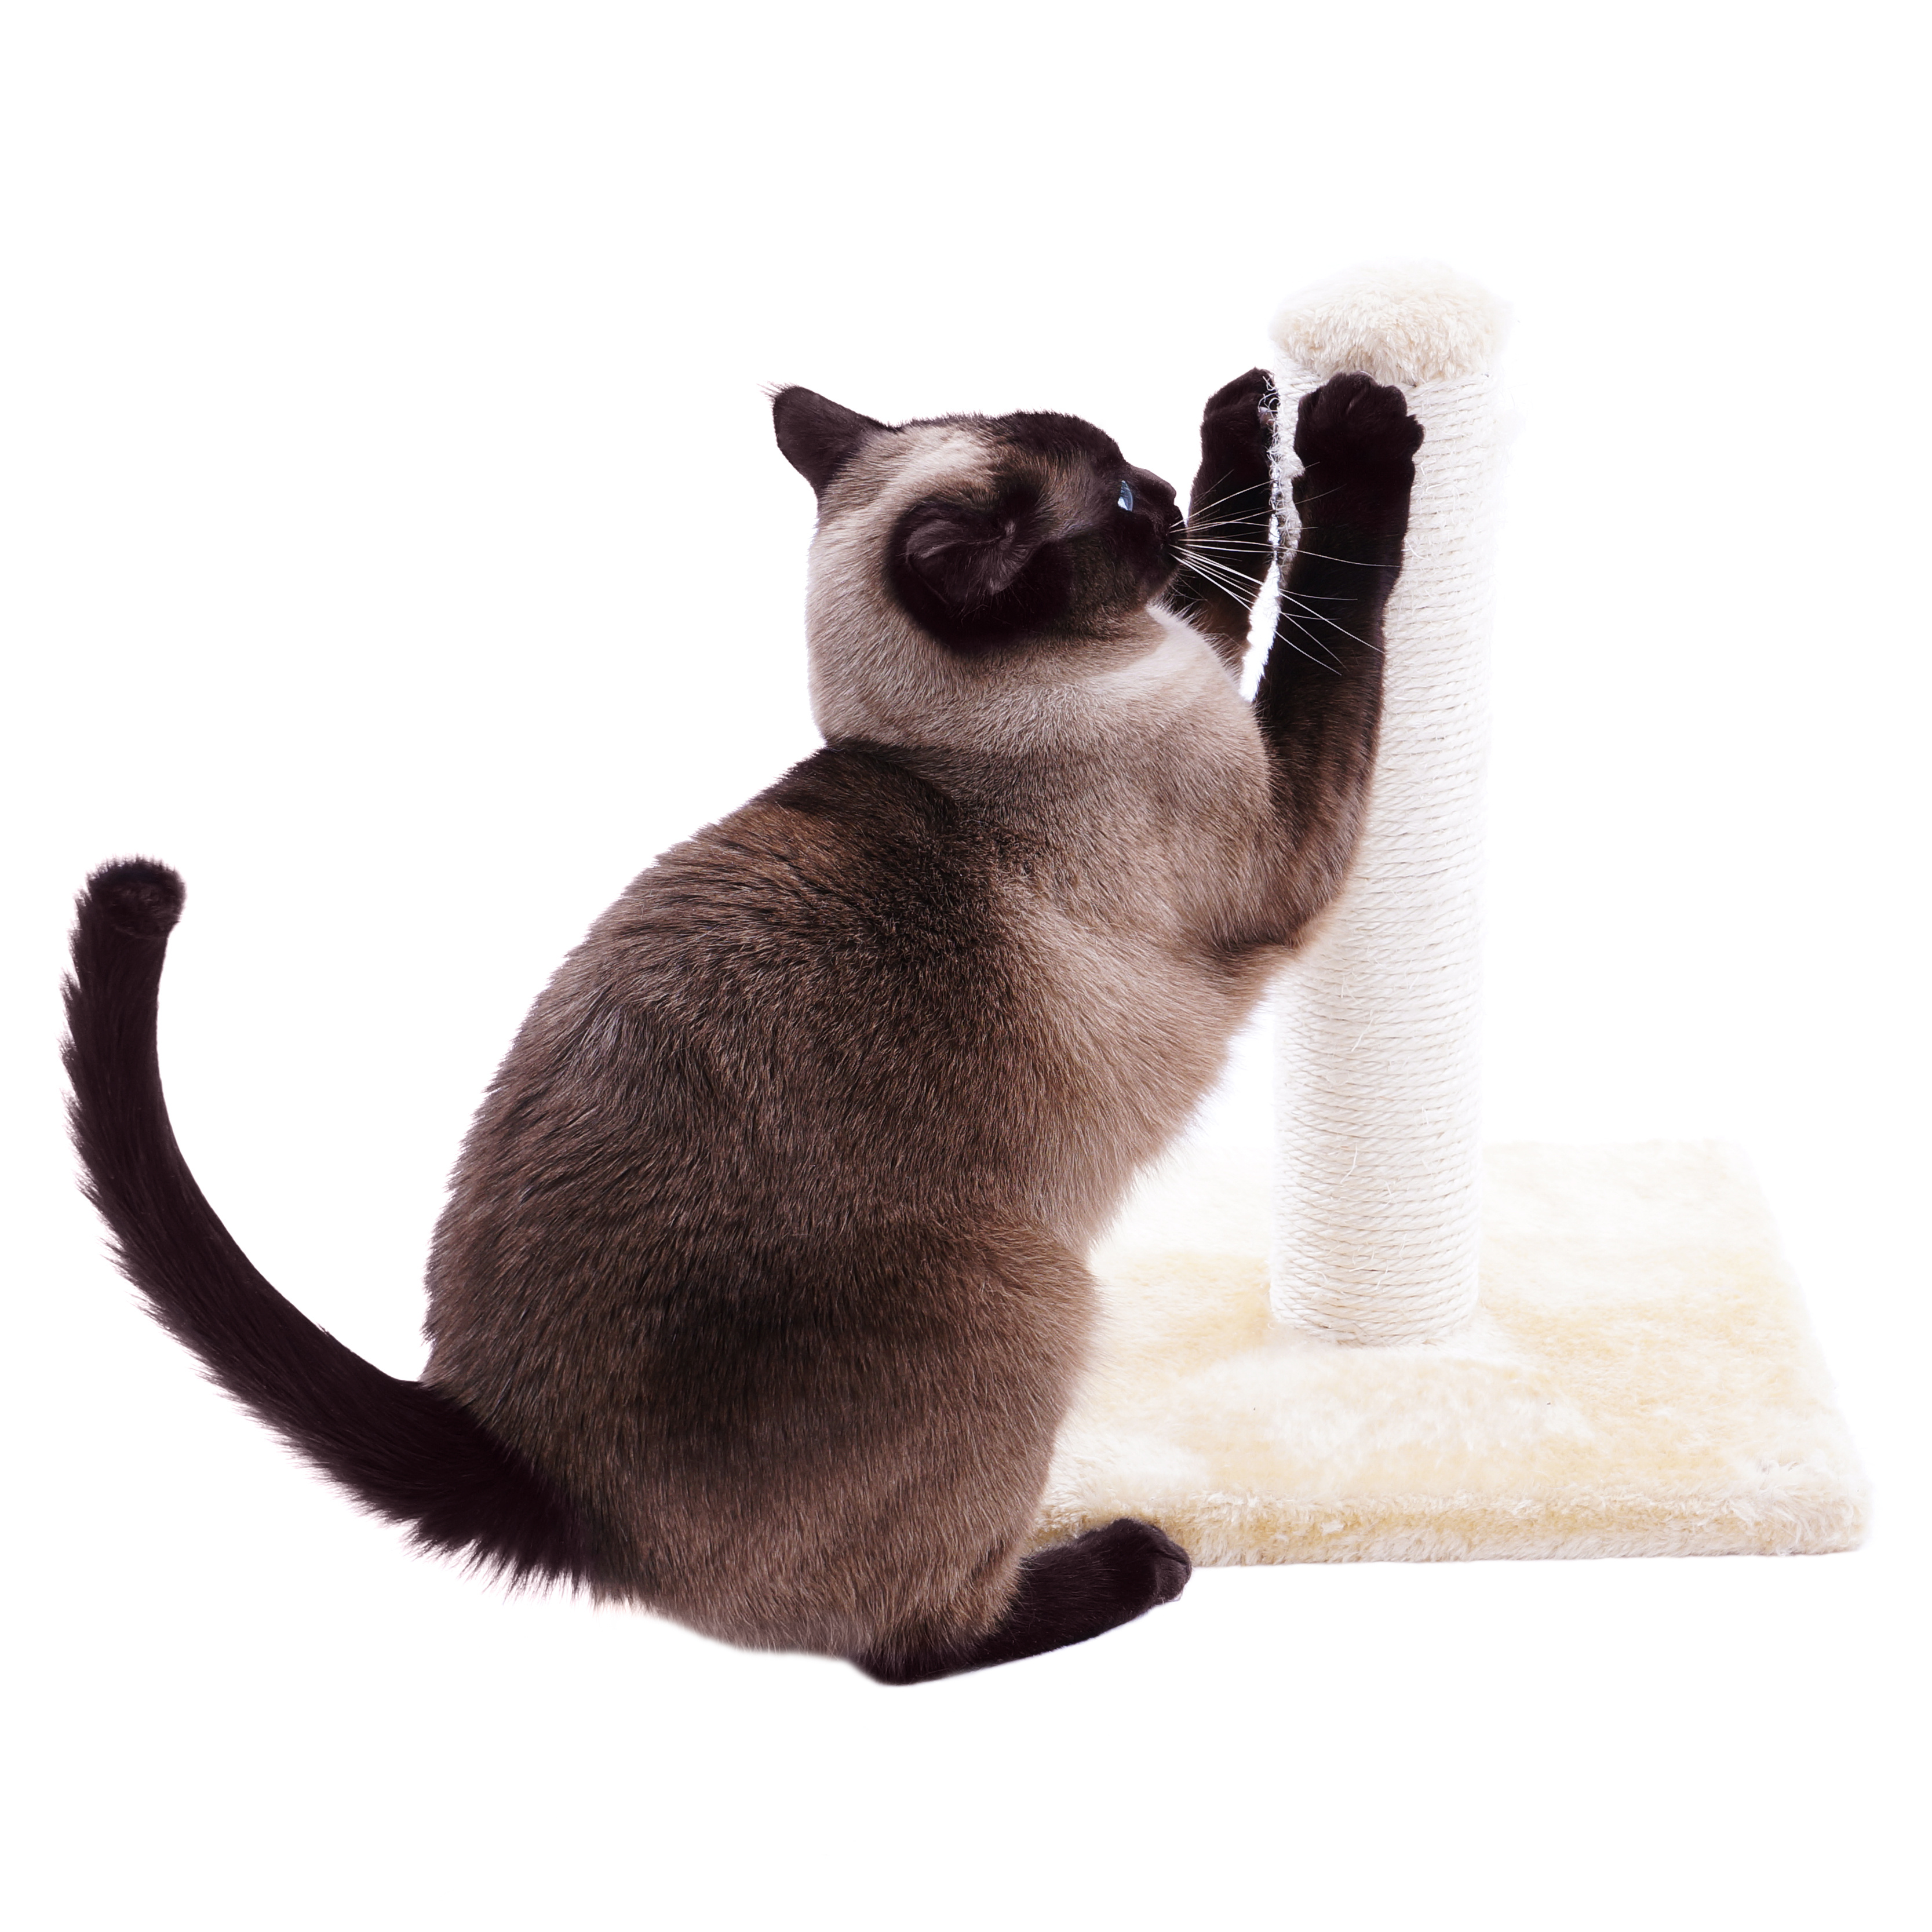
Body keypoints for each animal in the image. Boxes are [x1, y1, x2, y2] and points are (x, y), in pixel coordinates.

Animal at [64, 363, 1421, 1676]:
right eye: (1126, 506)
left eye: (1138, 474)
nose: (1162, 488)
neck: (957, 737)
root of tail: (526, 1465)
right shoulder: (1283, 840)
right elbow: (1328, 621)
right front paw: (1356, 442)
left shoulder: (1195, 658)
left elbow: (1225, 591)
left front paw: (1247, 425)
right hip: (1027, 1289)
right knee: (907, 1645)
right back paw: (1133, 1562)